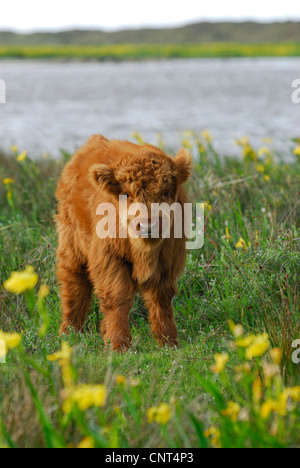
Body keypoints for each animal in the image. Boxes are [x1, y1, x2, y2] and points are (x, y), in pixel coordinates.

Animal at [55, 133, 192, 350]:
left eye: (166, 192)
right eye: (126, 194)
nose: (148, 225)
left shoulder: (169, 262)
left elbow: (161, 299)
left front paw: (168, 341)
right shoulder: (110, 259)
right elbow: (117, 298)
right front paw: (118, 345)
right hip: (71, 246)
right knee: (74, 285)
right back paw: (69, 333)